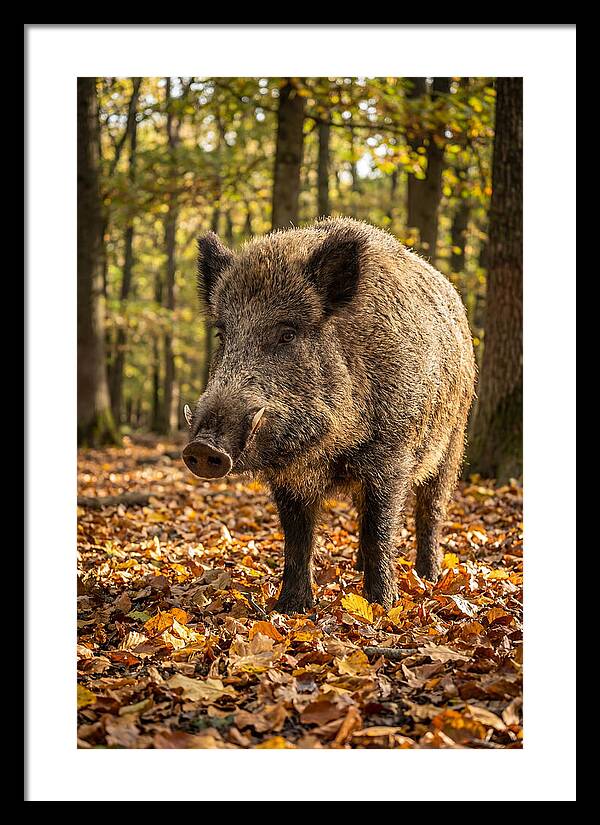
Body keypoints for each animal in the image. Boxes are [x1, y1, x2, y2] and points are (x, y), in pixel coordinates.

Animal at [182, 217, 476, 614]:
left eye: (288, 334)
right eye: (222, 334)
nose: (202, 448)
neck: (328, 449)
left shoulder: (391, 456)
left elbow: (380, 529)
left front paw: (381, 606)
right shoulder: (289, 477)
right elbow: (297, 538)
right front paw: (290, 608)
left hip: (453, 439)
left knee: (431, 510)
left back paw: (428, 577)